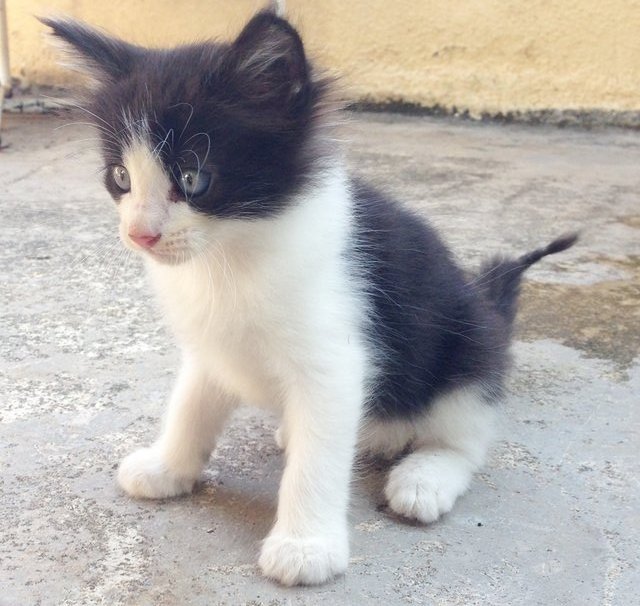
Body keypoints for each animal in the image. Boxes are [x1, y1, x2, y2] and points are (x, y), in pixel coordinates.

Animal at [42, 9, 576, 588]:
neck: (231, 255)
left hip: (469, 344)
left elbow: (317, 458)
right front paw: (167, 467)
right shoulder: (212, 345)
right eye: (121, 177)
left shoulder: (334, 358)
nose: (140, 235)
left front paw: (305, 546)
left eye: (193, 177)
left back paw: (424, 476)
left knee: (465, 435)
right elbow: (190, 404)